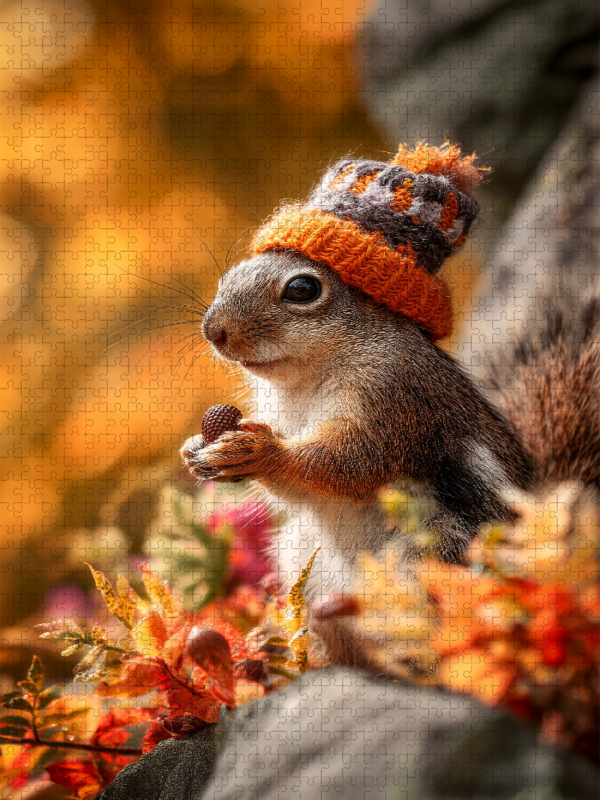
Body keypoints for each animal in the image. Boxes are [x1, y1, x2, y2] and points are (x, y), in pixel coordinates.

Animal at [180, 143, 546, 666]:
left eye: (303, 289)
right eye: (229, 274)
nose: (214, 331)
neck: (305, 378)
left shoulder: (396, 397)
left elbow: (351, 462)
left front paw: (262, 452)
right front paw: (196, 448)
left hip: (432, 559)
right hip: (305, 561)